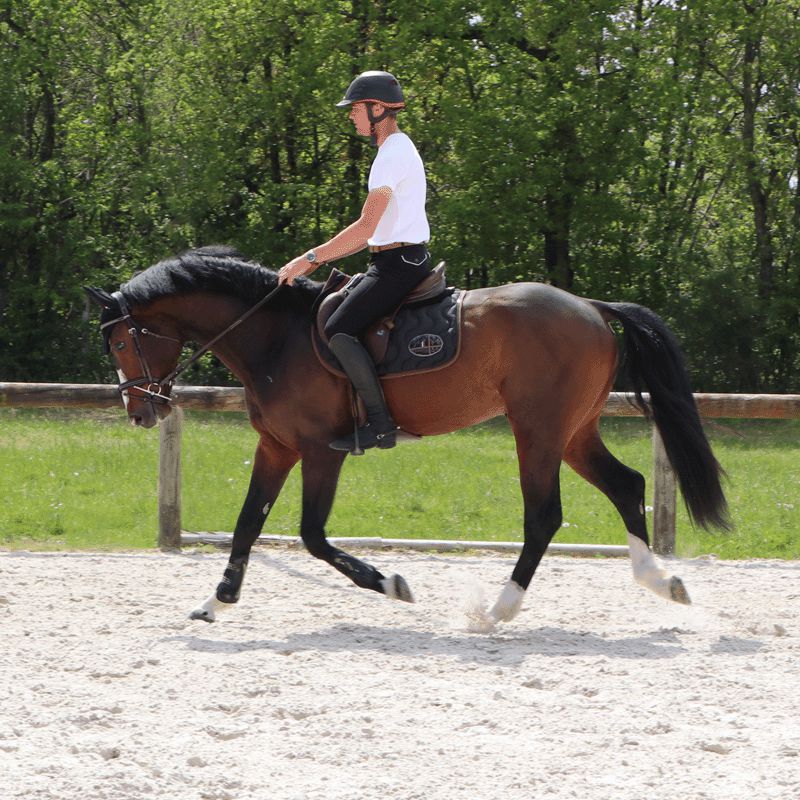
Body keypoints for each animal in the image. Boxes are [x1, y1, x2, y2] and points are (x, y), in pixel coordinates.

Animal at [85, 245, 729, 625]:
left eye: (119, 341)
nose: (138, 411)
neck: (275, 337)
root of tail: (592, 307)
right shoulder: (277, 447)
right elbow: (246, 525)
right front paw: (214, 602)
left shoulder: (320, 451)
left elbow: (312, 536)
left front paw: (390, 582)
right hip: (573, 433)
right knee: (627, 485)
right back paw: (662, 581)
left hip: (539, 431)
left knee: (545, 515)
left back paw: (498, 608)